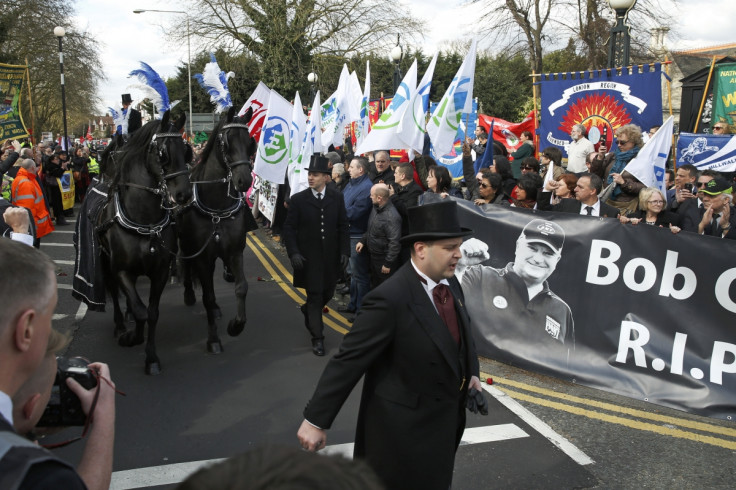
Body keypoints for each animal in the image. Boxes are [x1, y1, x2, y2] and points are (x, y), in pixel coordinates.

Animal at [97, 111, 193, 376]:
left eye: (186, 151)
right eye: (162, 153)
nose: (184, 195)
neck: (144, 220)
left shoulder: (160, 272)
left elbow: (151, 313)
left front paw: (151, 357)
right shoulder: (121, 269)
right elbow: (139, 310)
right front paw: (131, 337)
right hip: (104, 262)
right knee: (114, 291)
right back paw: (120, 325)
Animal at [178, 106, 258, 352]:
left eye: (250, 142)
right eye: (226, 142)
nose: (244, 181)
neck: (217, 207)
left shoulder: (234, 251)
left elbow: (242, 287)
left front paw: (236, 325)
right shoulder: (202, 256)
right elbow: (209, 296)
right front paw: (213, 339)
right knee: (187, 267)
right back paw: (189, 293)